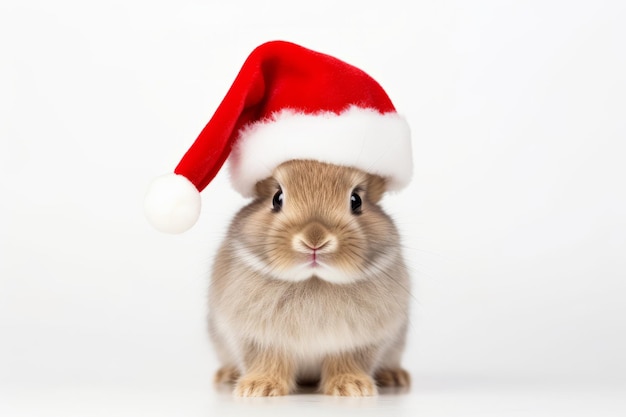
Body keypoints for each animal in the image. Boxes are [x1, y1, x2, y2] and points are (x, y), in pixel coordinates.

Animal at [208, 159, 410, 396]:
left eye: (356, 200)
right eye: (277, 198)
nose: (315, 239)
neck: (313, 280)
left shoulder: (356, 343)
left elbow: (347, 362)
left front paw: (353, 387)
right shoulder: (261, 340)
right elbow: (267, 361)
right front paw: (259, 388)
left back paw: (394, 377)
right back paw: (227, 375)